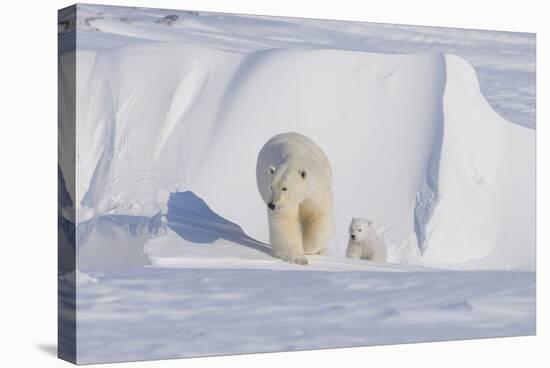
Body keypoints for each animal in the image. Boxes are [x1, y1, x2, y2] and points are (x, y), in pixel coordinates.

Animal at [256, 132, 334, 264]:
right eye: (271, 187)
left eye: (284, 188)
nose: (272, 205)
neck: (295, 157)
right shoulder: (285, 203)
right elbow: (285, 220)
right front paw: (298, 258)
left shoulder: (316, 190)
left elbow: (317, 214)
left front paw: (306, 247)